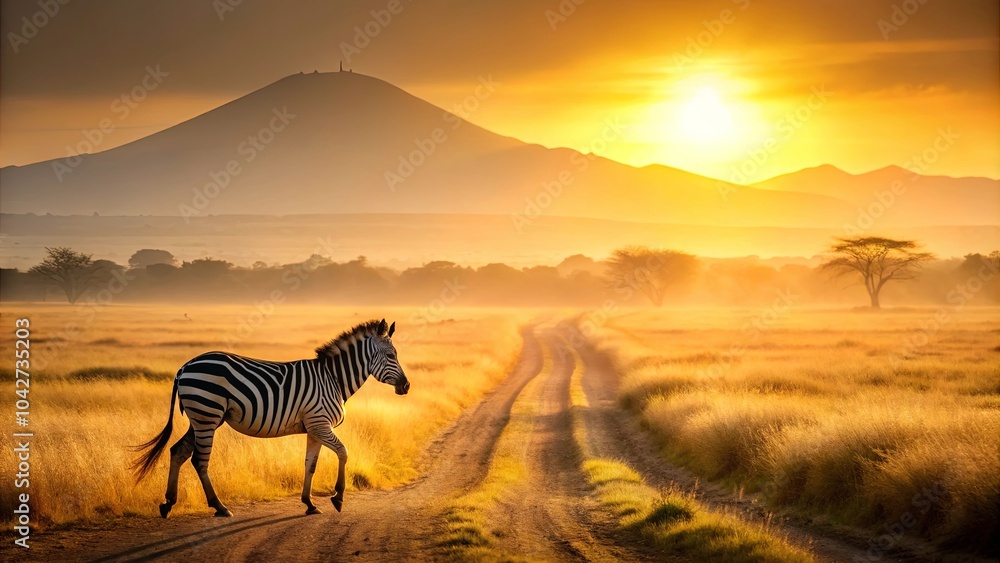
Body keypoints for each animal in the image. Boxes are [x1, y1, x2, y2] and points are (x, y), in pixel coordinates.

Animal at [131, 318, 409, 517]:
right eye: (391, 356)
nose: (406, 386)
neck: (333, 379)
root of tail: (184, 367)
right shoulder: (320, 423)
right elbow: (343, 452)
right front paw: (338, 497)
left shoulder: (314, 428)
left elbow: (310, 464)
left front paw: (309, 504)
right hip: (207, 415)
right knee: (199, 461)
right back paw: (219, 507)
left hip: (201, 418)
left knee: (178, 451)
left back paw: (168, 503)